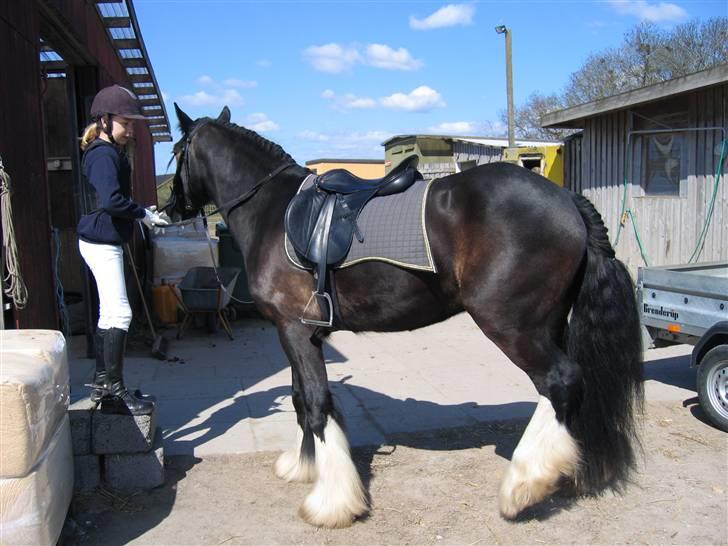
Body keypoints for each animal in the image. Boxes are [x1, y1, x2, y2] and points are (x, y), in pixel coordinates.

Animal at [168, 105, 640, 528]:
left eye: (176, 151)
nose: (171, 208)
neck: (274, 210)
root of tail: (566, 198)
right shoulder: (301, 335)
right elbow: (303, 400)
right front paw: (305, 466)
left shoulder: (295, 332)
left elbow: (317, 405)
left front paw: (331, 502)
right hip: (548, 324)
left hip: (512, 327)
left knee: (560, 381)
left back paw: (524, 484)